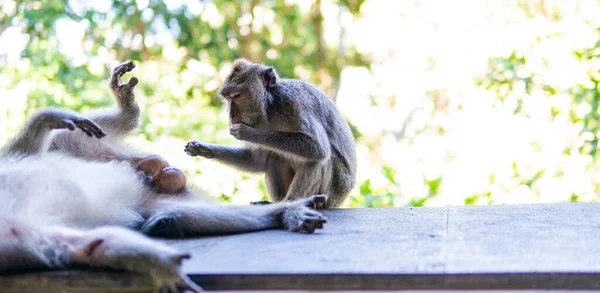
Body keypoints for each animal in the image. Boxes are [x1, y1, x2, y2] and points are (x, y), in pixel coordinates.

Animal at [0, 60, 328, 290]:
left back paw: (128, 117)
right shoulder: (19, 241)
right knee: (176, 213)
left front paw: (51, 117)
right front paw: (162, 266)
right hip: (156, 198)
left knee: (66, 139)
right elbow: (90, 245)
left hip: (97, 149)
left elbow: (29, 149)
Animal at [186, 58, 356, 208]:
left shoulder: (293, 104)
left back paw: (294, 201)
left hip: (333, 191)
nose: (231, 115)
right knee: (275, 156)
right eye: (228, 98)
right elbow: (256, 160)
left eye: (237, 96)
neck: (271, 107)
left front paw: (247, 133)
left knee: (318, 158)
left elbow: (317, 147)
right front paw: (203, 148)